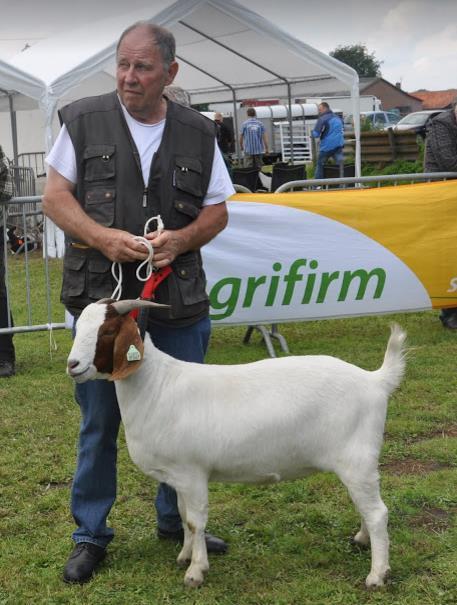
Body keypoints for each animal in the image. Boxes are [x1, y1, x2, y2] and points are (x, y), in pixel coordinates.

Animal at [67, 300, 406, 588]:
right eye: (78, 327)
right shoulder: (178, 477)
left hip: (357, 459)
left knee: (378, 512)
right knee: (366, 507)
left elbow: (196, 521)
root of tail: (375, 381)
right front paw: (185, 556)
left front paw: (196, 572)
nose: (73, 364)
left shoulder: (193, 473)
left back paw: (377, 574)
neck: (157, 386)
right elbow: (183, 516)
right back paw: (362, 540)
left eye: (107, 331)